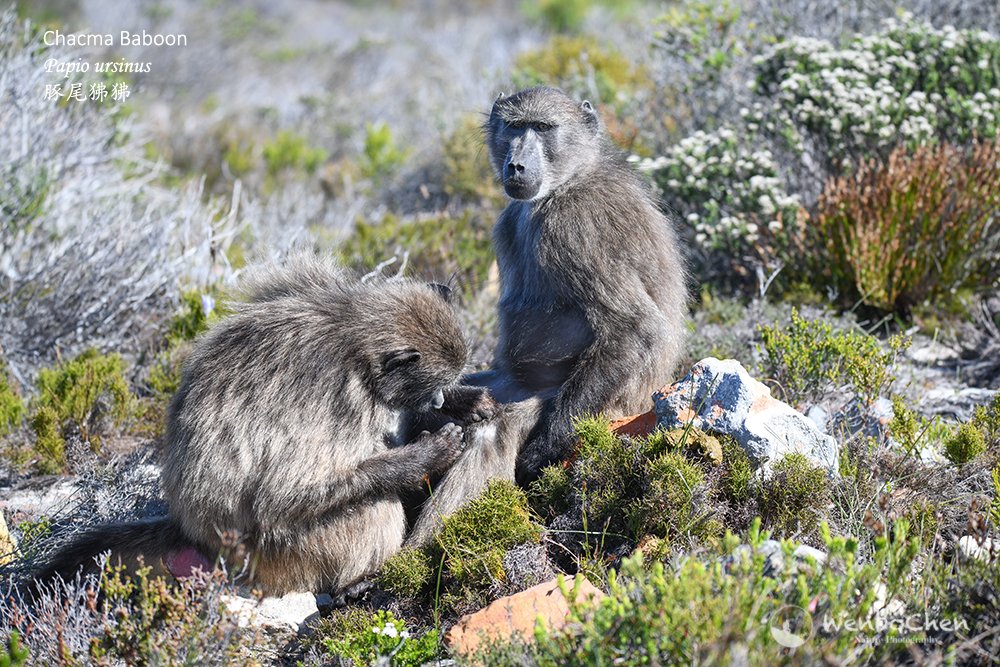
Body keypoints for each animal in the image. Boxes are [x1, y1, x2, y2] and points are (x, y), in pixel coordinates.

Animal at [35, 256, 488, 596]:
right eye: (434, 384)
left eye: (445, 383)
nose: (439, 401)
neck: (354, 337)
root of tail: (195, 532)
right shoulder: (338, 398)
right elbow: (282, 496)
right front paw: (428, 453)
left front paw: (467, 404)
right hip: (277, 554)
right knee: (371, 506)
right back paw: (354, 585)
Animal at [407, 87, 688, 545]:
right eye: (515, 127)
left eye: (542, 127)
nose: (516, 165)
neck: (564, 184)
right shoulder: (509, 221)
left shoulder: (578, 226)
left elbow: (635, 328)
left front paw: (542, 450)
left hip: (607, 407)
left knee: (493, 433)